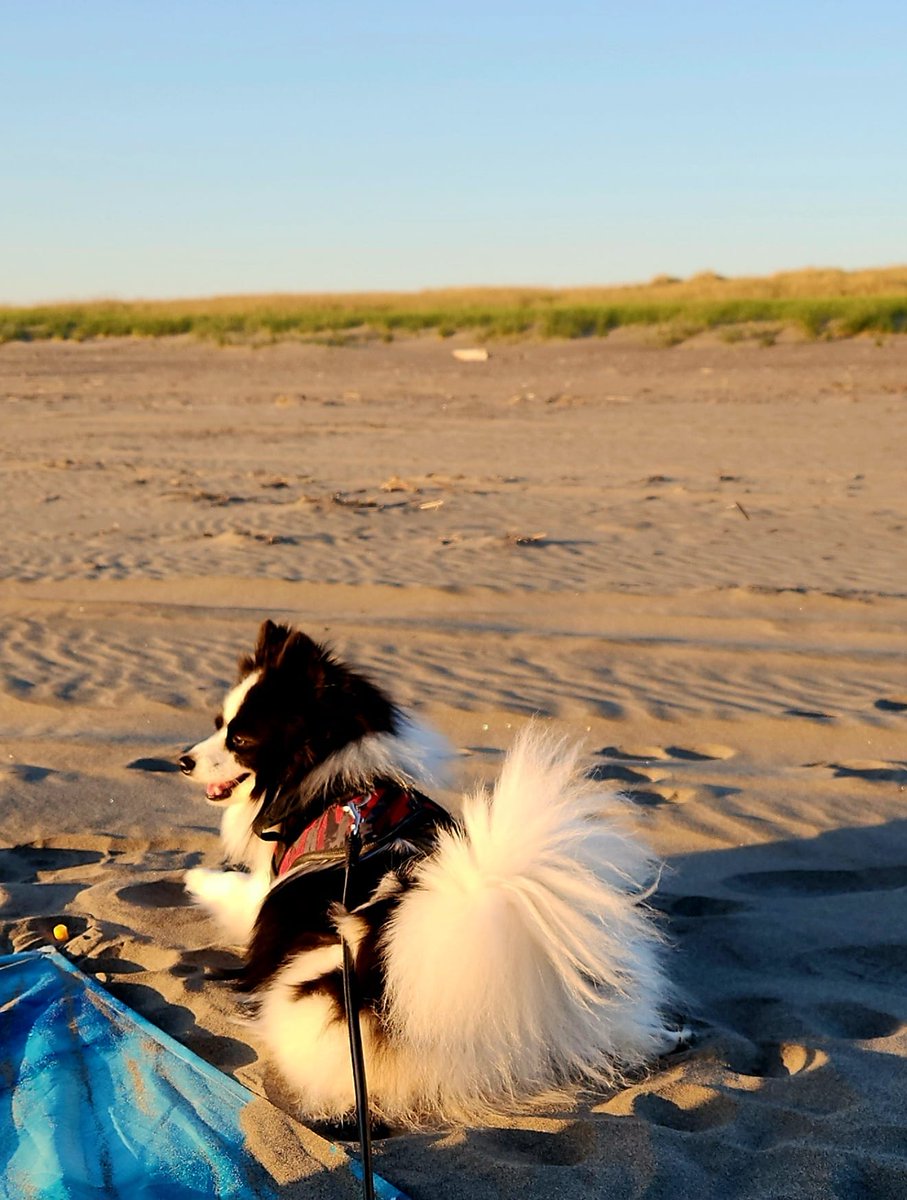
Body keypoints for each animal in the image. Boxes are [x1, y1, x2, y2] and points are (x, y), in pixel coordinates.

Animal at [181, 619, 676, 1123]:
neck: (340, 782)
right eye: (218, 725)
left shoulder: (265, 891)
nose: (183, 760)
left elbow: (234, 890)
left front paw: (194, 878)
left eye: (241, 741)